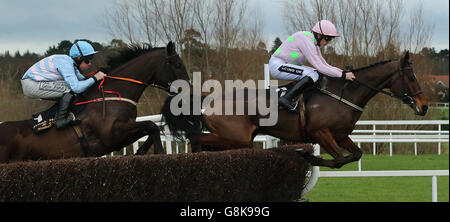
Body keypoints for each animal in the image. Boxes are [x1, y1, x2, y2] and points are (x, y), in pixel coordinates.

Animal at [0, 41, 190, 163]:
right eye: (178, 65)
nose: (188, 90)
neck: (114, 94)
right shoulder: (112, 136)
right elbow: (152, 125)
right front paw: (159, 153)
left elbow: (151, 129)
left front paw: (140, 152)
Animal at [162, 51, 428, 167]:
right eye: (411, 77)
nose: (424, 106)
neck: (343, 94)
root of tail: (207, 101)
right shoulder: (321, 133)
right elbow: (340, 160)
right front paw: (307, 155)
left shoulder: (341, 135)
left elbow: (355, 155)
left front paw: (308, 156)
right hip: (235, 136)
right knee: (196, 137)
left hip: (237, 140)